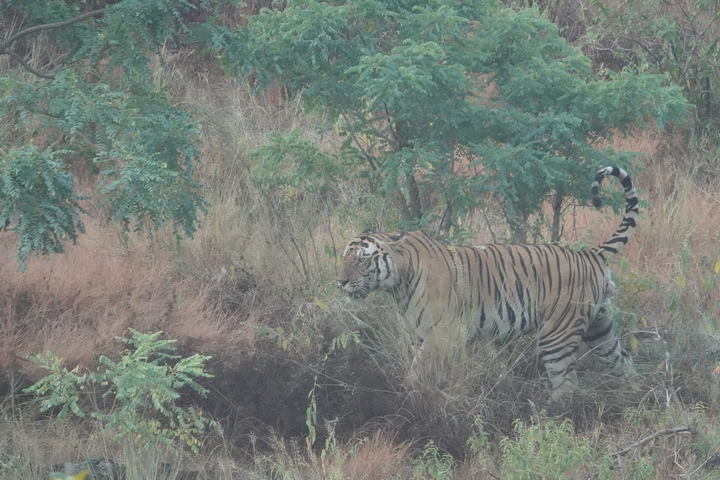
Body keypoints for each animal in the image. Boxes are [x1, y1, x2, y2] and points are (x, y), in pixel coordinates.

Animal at [337, 166, 637, 400]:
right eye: (344, 258)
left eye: (362, 260)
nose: (340, 282)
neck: (398, 285)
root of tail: (590, 253)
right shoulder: (417, 336)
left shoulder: (442, 333)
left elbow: (418, 369)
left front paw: (410, 399)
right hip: (600, 328)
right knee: (624, 363)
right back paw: (630, 399)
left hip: (557, 335)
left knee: (567, 384)